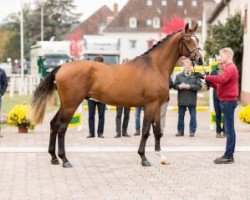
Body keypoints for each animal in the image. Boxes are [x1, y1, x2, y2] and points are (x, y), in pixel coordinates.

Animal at [31, 23, 203, 167]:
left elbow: (157, 131)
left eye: (198, 39)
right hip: (71, 104)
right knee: (61, 128)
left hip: (66, 104)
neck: (155, 66)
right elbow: (146, 132)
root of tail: (62, 67)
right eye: (188, 40)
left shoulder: (157, 106)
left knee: (54, 124)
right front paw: (144, 158)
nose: (200, 59)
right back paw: (65, 160)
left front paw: (161, 157)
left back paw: (54, 158)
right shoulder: (150, 105)